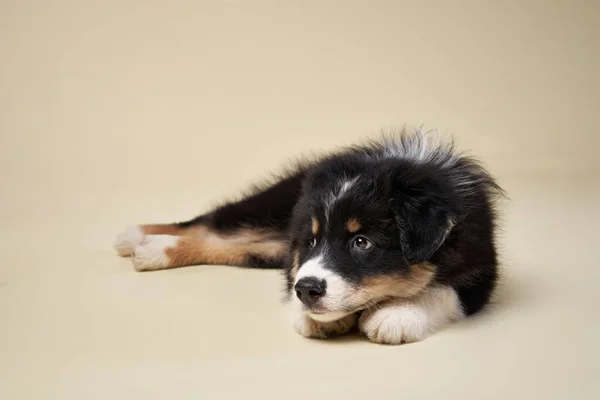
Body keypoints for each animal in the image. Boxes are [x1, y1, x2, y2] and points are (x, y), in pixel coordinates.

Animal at [112, 130, 502, 344]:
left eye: (362, 242)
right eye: (312, 241)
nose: (309, 290)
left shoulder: (481, 266)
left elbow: (443, 290)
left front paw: (397, 315)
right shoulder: (296, 262)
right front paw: (317, 316)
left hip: (268, 245)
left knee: (229, 244)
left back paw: (147, 247)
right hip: (270, 208)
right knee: (210, 223)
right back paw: (139, 238)